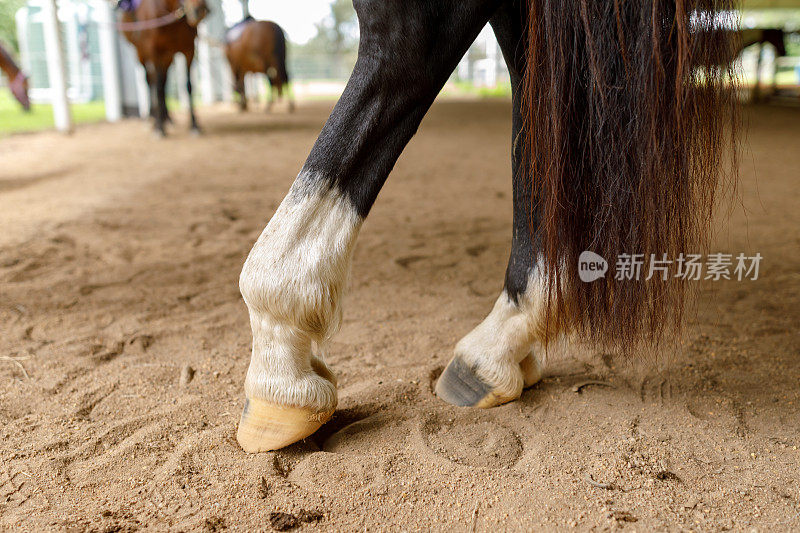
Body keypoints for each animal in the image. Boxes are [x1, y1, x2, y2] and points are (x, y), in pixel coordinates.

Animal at [119, 0, 208, 135]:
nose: (200, 10)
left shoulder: (189, 50)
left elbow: (188, 86)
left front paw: (194, 125)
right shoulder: (154, 52)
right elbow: (158, 88)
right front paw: (159, 127)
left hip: (167, 58)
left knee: (163, 81)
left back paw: (167, 118)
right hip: (141, 54)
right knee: (149, 81)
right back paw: (152, 118)